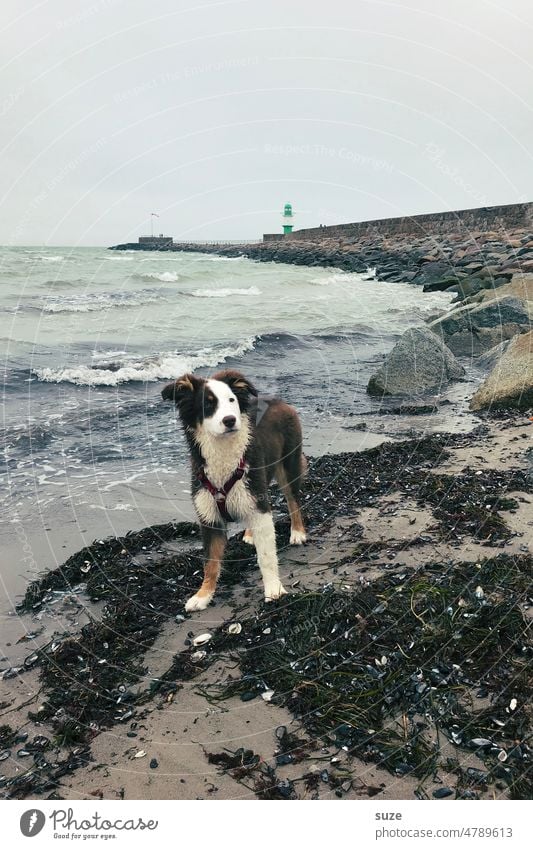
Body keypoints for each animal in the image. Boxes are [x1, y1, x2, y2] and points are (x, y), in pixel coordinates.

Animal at [160, 370, 306, 608]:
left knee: (293, 500)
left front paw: (274, 590)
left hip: (288, 465)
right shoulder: (209, 515)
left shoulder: (258, 504)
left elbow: (266, 556)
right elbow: (210, 562)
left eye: (231, 400)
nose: (230, 420)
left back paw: (298, 532)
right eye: (207, 405)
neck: (223, 452)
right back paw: (250, 534)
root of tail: (278, 400)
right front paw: (203, 596)